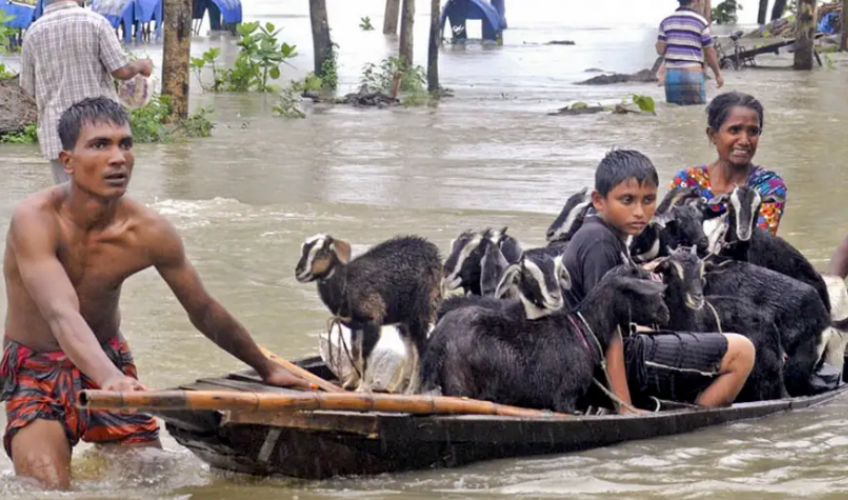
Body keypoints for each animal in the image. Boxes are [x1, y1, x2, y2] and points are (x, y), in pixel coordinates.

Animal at [296, 232, 444, 392]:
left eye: (322, 252)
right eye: (303, 249)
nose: (299, 273)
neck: (346, 285)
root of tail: (434, 253)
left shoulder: (372, 320)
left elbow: (365, 357)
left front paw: (362, 388)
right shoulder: (355, 325)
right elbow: (355, 353)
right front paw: (351, 383)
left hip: (420, 312)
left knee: (421, 350)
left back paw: (412, 389)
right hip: (404, 319)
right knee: (410, 349)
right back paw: (398, 387)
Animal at [420, 266, 672, 414]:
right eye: (646, 291)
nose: (666, 313)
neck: (584, 330)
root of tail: (438, 339)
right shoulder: (565, 397)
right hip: (460, 383)